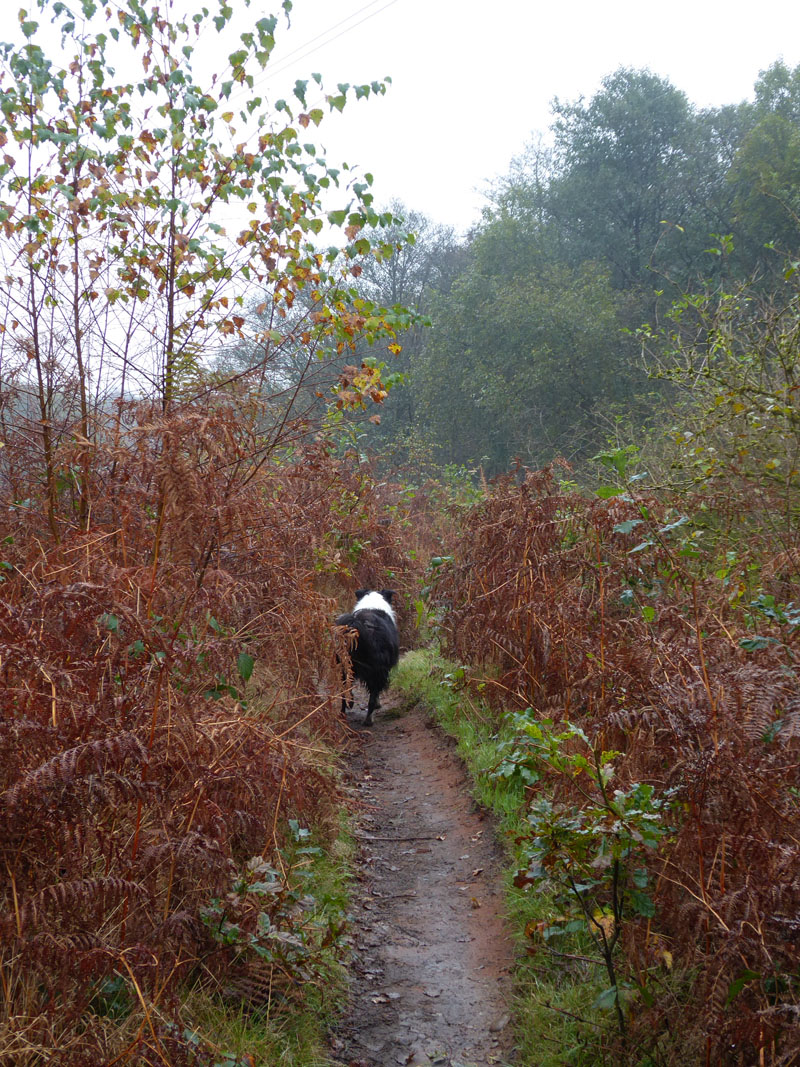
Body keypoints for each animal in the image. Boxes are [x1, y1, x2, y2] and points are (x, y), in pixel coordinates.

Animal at [334, 588, 401, 729]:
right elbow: (375, 694)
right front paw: (377, 704)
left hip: (344, 665)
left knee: (344, 692)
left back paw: (344, 713)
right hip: (377, 669)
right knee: (372, 695)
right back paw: (368, 720)